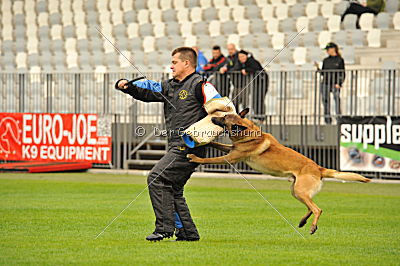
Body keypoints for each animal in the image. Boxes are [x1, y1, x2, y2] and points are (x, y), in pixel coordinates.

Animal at [186, 108, 370, 235]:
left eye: (224, 118)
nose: (212, 117)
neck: (249, 133)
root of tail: (319, 168)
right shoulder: (231, 149)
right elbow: (217, 145)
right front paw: (205, 142)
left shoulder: (230, 158)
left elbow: (209, 160)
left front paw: (195, 157)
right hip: (296, 191)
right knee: (310, 207)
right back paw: (303, 221)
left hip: (300, 191)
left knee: (317, 209)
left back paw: (312, 226)